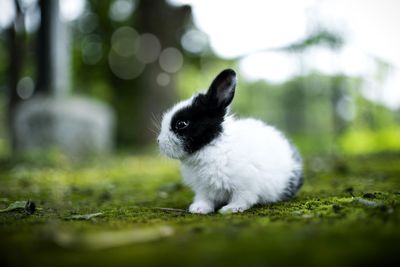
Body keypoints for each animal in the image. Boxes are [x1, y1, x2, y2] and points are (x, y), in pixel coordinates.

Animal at [158, 69, 302, 216]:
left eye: (181, 124)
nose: (159, 141)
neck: (213, 145)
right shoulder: (203, 188)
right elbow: (204, 198)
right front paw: (198, 209)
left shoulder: (245, 185)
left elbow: (242, 198)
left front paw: (230, 209)